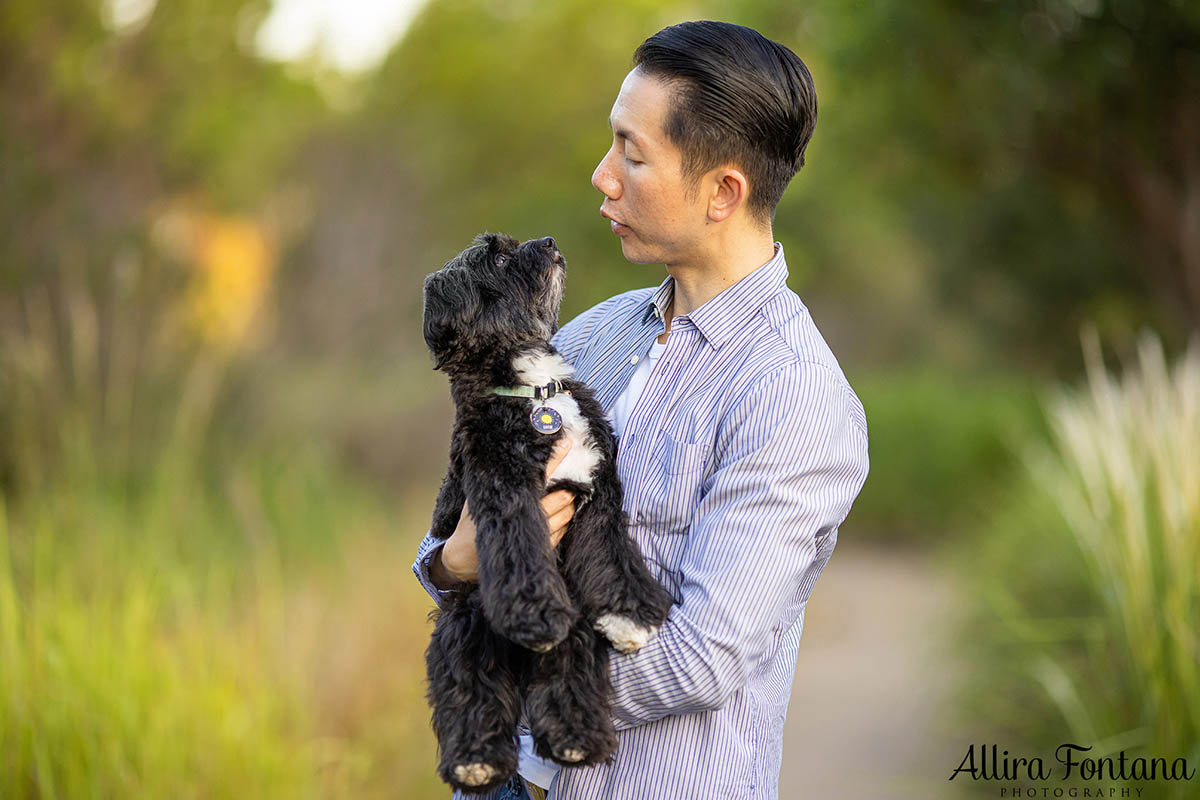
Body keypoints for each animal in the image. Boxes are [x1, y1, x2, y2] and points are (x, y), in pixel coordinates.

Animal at [422, 232, 676, 796]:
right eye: (497, 256)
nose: (548, 240)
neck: (536, 392)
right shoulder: (506, 496)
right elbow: (520, 556)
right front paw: (533, 614)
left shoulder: (596, 495)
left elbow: (612, 554)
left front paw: (628, 612)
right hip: (463, 621)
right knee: (468, 683)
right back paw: (476, 759)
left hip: (572, 614)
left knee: (569, 663)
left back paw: (576, 734)